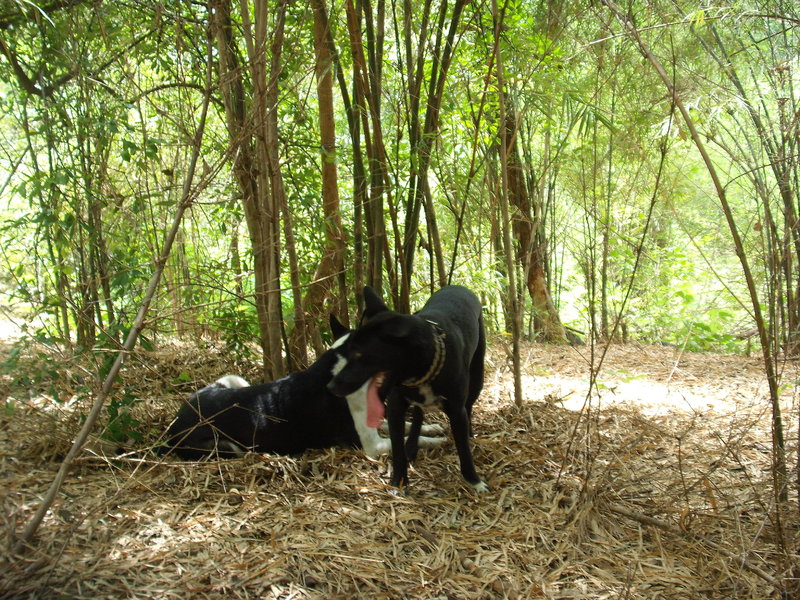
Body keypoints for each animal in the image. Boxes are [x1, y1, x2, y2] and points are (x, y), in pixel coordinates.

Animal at [163, 318, 446, 460]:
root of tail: (175, 420)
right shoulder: (370, 446)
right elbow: (411, 438)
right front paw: (437, 441)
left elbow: (401, 425)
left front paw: (433, 427)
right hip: (226, 446)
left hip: (233, 380)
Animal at [326, 286, 488, 492]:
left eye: (358, 354)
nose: (331, 386)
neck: (423, 371)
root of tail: (458, 287)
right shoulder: (396, 407)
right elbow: (397, 448)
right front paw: (399, 482)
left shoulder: (456, 410)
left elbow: (463, 447)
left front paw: (474, 480)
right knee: (418, 414)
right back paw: (411, 446)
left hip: (477, 377)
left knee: (468, 405)